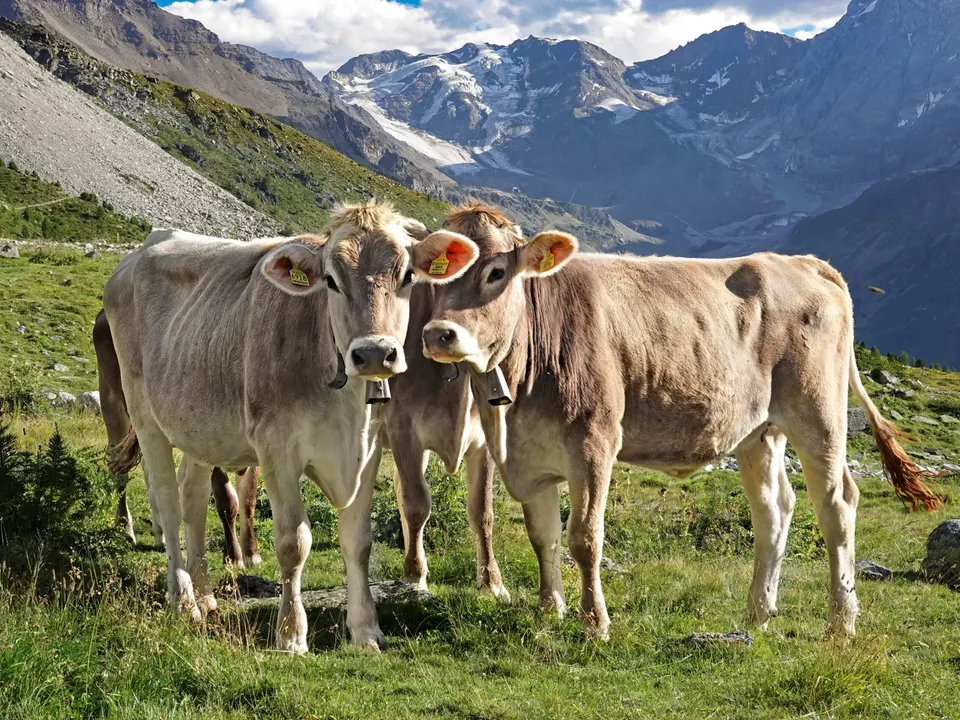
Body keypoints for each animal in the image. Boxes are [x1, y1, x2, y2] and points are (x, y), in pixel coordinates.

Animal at [94, 309, 261, 566]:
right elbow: (227, 500)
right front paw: (234, 556)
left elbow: (249, 497)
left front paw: (252, 553)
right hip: (112, 401)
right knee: (119, 472)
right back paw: (126, 530)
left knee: (150, 472)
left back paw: (160, 534)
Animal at [413, 203, 943, 641]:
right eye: (434, 279)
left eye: (496, 272)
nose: (439, 333)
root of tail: (800, 262)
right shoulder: (529, 457)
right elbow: (543, 536)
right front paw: (549, 611)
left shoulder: (593, 442)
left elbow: (584, 538)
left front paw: (595, 623)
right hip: (758, 430)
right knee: (774, 509)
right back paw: (758, 612)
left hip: (819, 415)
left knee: (837, 504)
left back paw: (841, 620)